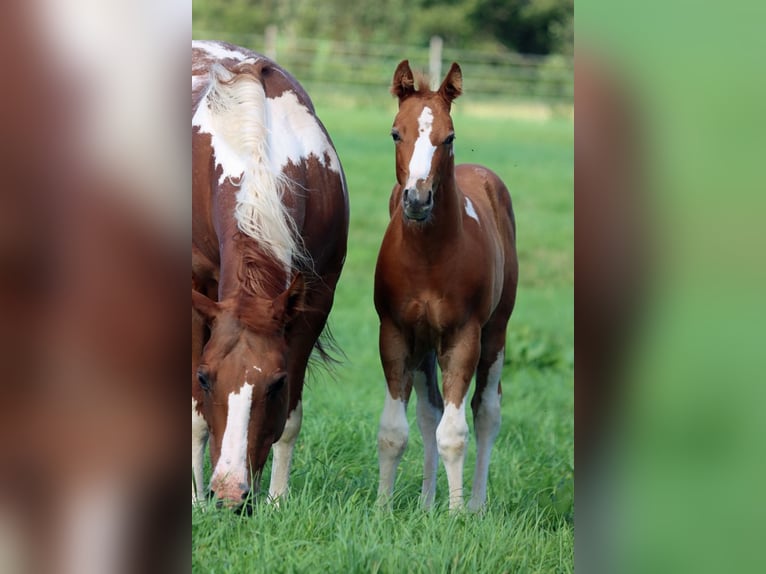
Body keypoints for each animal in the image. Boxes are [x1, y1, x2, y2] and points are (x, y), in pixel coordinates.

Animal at [192, 41, 352, 508]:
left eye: (276, 384)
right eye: (205, 378)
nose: (229, 493)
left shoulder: (315, 299)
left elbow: (291, 419)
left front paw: (277, 501)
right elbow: (194, 416)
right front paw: (194, 500)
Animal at [376, 60, 520, 512]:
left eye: (450, 136)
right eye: (396, 132)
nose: (417, 200)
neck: (428, 258)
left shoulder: (463, 336)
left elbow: (455, 434)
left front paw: (455, 516)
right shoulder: (395, 333)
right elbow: (395, 430)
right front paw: (382, 509)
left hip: (495, 333)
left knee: (487, 411)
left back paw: (474, 506)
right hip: (425, 343)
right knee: (430, 412)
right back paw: (425, 502)